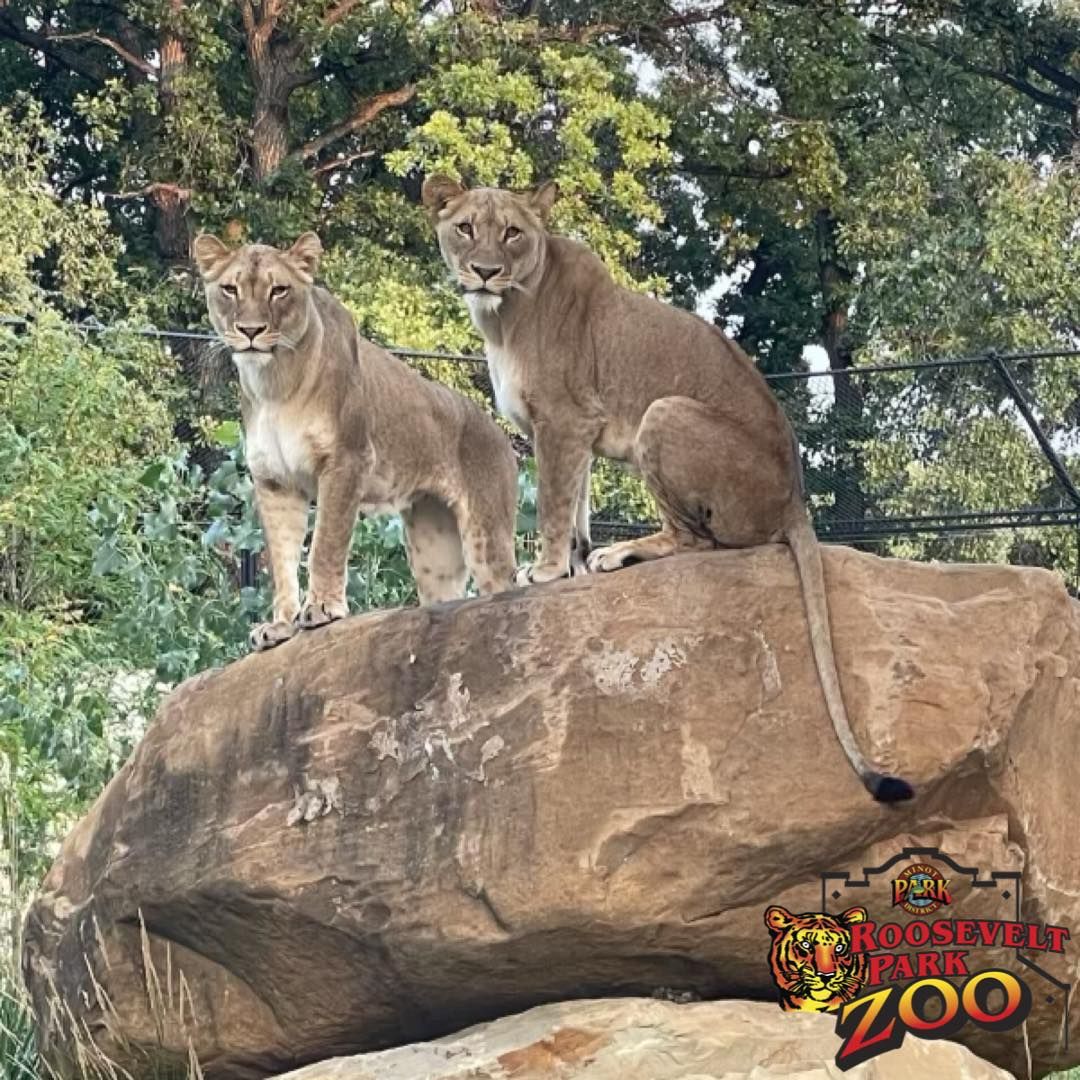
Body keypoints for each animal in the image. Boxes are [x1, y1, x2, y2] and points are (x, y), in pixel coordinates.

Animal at [193, 230, 518, 648]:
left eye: (279, 290)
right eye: (230, 289)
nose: (251, 331)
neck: (273, 382)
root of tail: (498, 431)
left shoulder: (347, 460)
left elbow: (325, 543)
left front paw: (322, 609)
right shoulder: (274, 482)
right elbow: (281, 560)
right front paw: (279, 627)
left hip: (485, 535)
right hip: (434, 549)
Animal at [421, 177, 911, 803]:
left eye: (512, 233)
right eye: (465, 228)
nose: (484, 271)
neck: (502, 313)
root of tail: (796, 499)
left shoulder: (563, 419)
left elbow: (554, 503)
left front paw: (547, 571)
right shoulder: (574, 432)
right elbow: (576, 504)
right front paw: (572, 564)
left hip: (663, 412)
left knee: (696, 541)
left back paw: (622, 553)